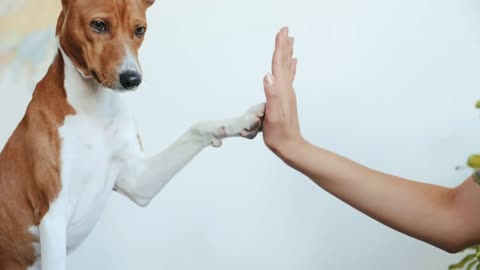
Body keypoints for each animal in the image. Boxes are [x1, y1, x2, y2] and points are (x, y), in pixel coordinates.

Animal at [0, 1, 264, 268]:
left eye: (140, 30)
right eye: (98, 25)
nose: (132, 79)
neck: (94, 110)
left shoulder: (138, 180)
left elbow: (196, 127)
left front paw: (240, 120)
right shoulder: (53, 216)